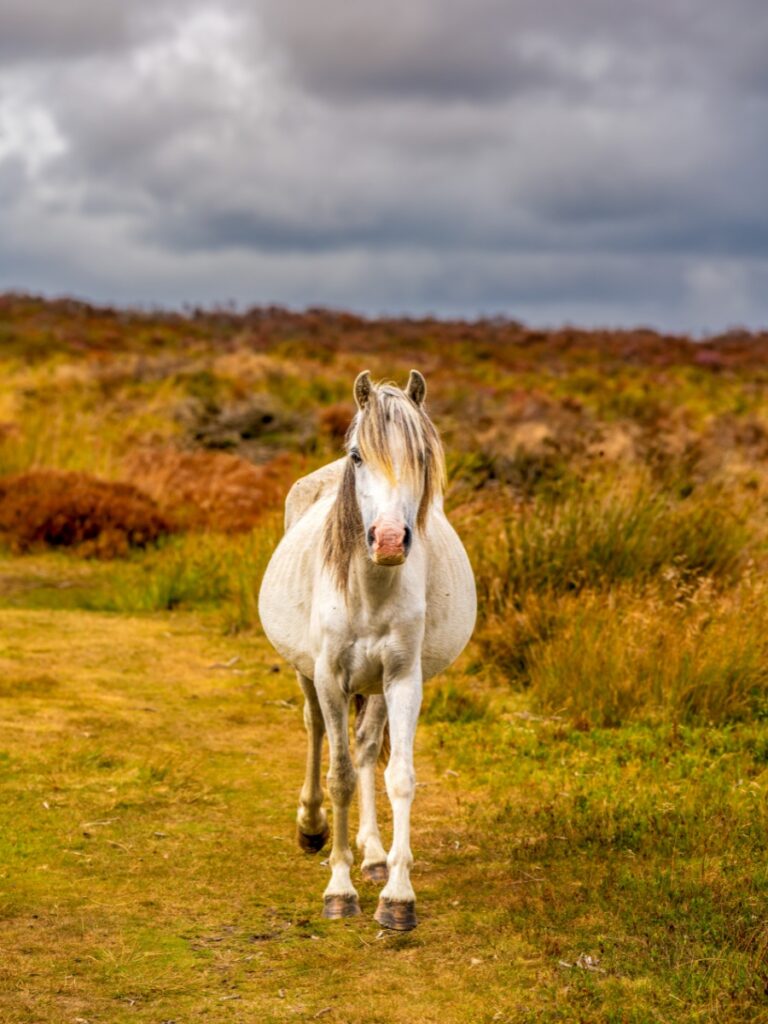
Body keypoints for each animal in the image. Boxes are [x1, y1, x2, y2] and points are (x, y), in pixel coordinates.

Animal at [258, 369, 476, 930]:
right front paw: (338, 890)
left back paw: (374, 856)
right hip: (308, 676)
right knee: (317, 732)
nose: (390, 541)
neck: (370, 587)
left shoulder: (402, 680)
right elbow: (339, 778)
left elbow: (397, 775)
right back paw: (312, 827)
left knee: (366, 746)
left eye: (421, 454)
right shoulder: (331, 678)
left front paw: (397, 895)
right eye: (358, 455)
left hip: (376, 685)